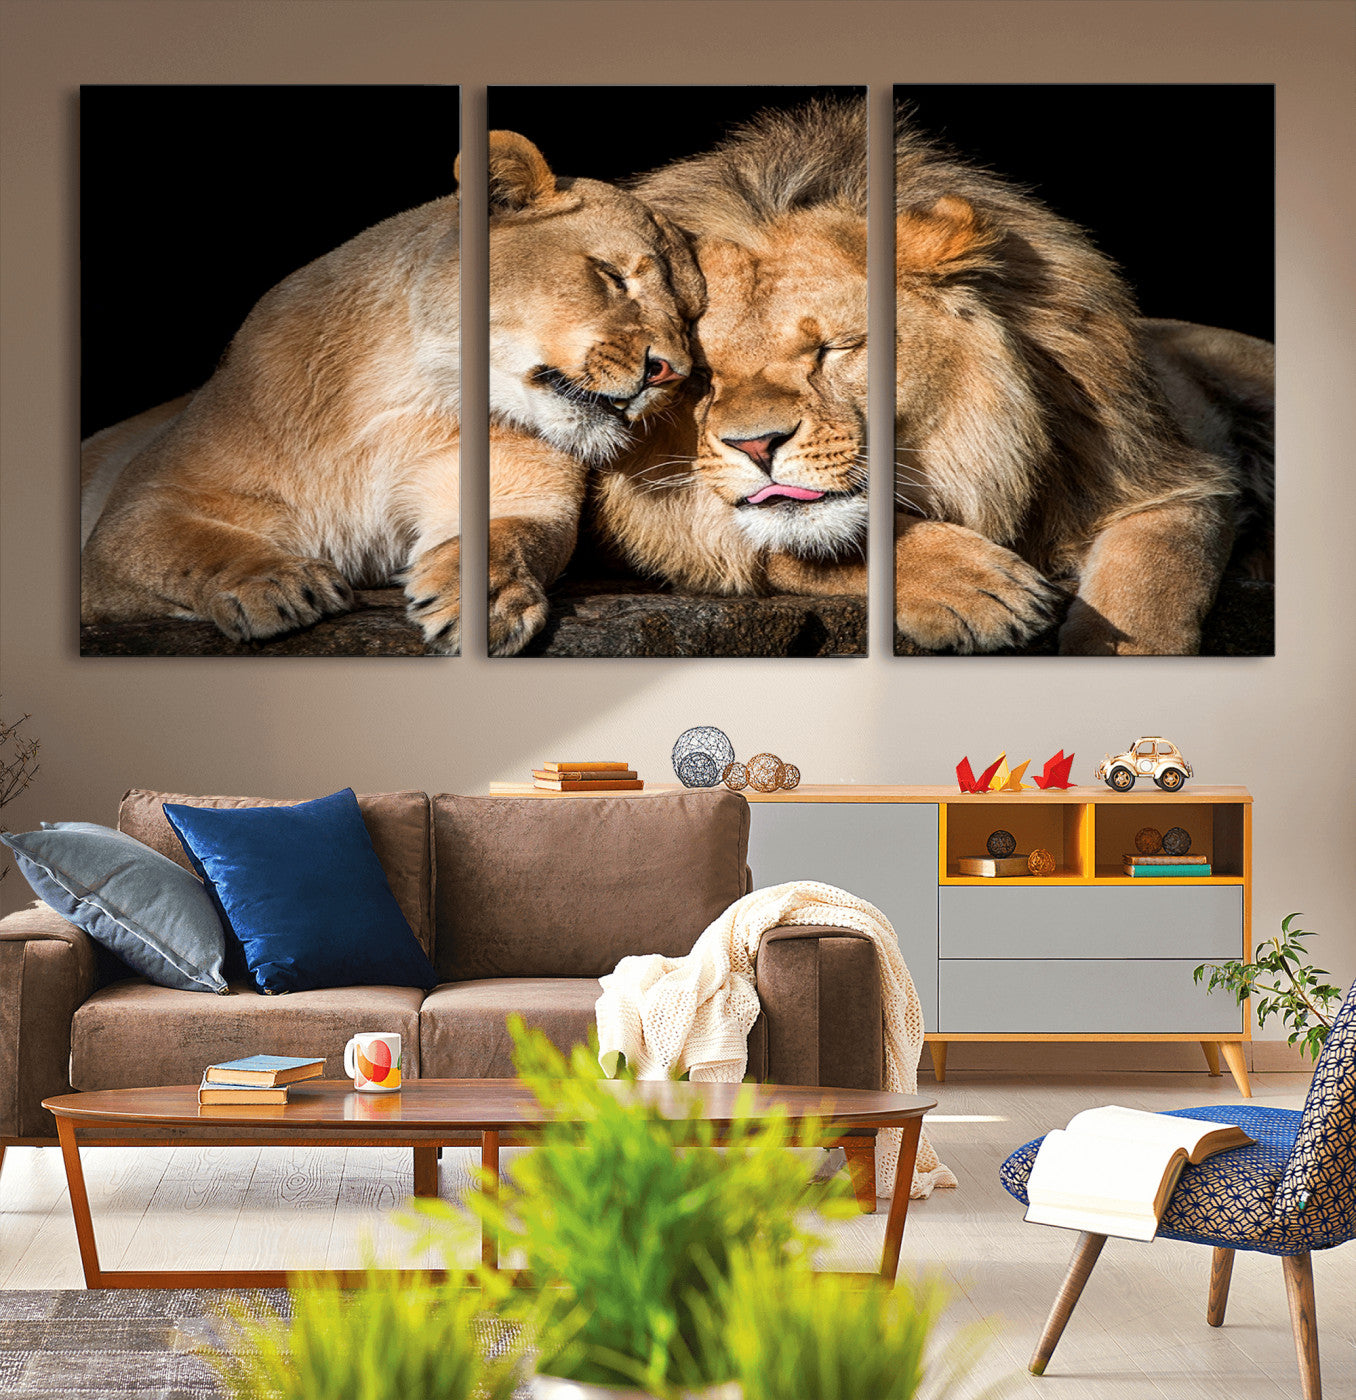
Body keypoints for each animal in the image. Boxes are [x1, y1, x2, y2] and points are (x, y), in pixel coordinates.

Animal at [80, 132, 701, 655]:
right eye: (613, 276)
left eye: (692, 317)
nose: (669, 372)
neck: (409, 397)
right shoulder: (141, 505)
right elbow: (184, 545)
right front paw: (277, 583)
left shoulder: (523, 490)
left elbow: (510, 535)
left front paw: (488, 599)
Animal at [543, 98, 1271, 657]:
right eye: (700, 378)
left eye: (834, 349)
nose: (755, 446)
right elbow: (808, 545)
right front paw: (977, 588)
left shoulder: (1174, 472)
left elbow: (1148, 585)